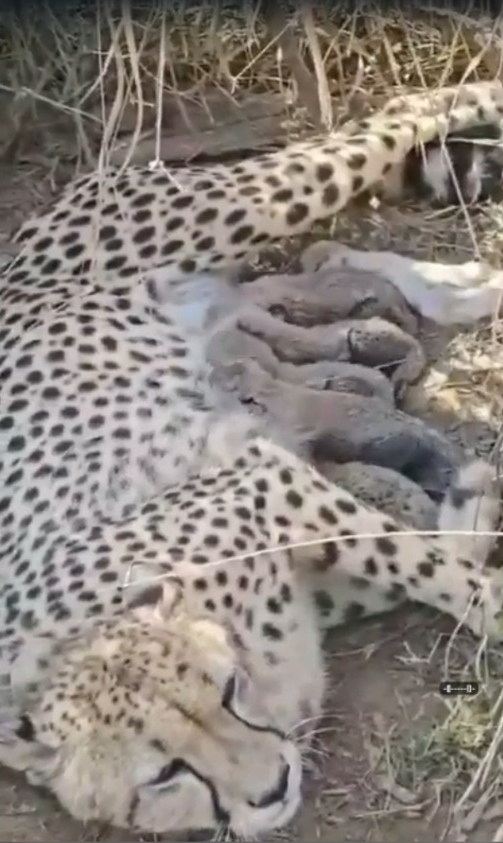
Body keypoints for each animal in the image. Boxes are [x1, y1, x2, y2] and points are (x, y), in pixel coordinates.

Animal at [0, 81, 503, 839]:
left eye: (226, 690)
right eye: (163, 774)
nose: (271, 788)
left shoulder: (257, 479)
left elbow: (426, 563)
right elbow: (427, 548)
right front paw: (466, 501)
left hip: (237, 207)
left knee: (393, 119)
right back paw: (466, 285)